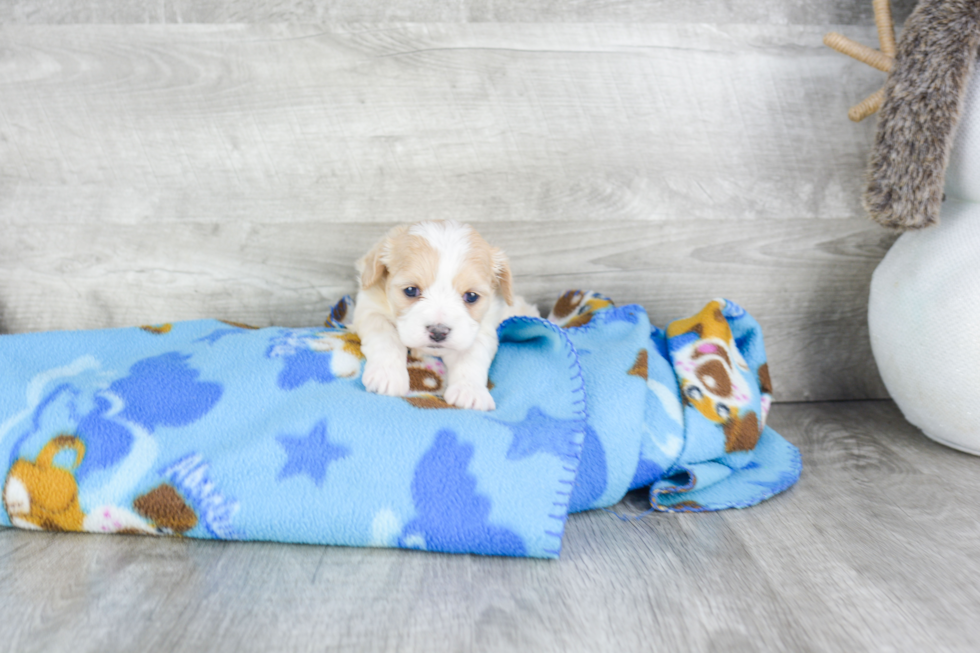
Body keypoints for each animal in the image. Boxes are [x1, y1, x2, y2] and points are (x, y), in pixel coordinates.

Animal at [352, 222, 536, 410]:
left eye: (471, 296)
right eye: (410, 290)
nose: (438, 332)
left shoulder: (481, 330)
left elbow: (471, 356)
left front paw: (470, 390)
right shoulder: (370, 309)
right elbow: (386, 338)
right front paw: (388, 374)